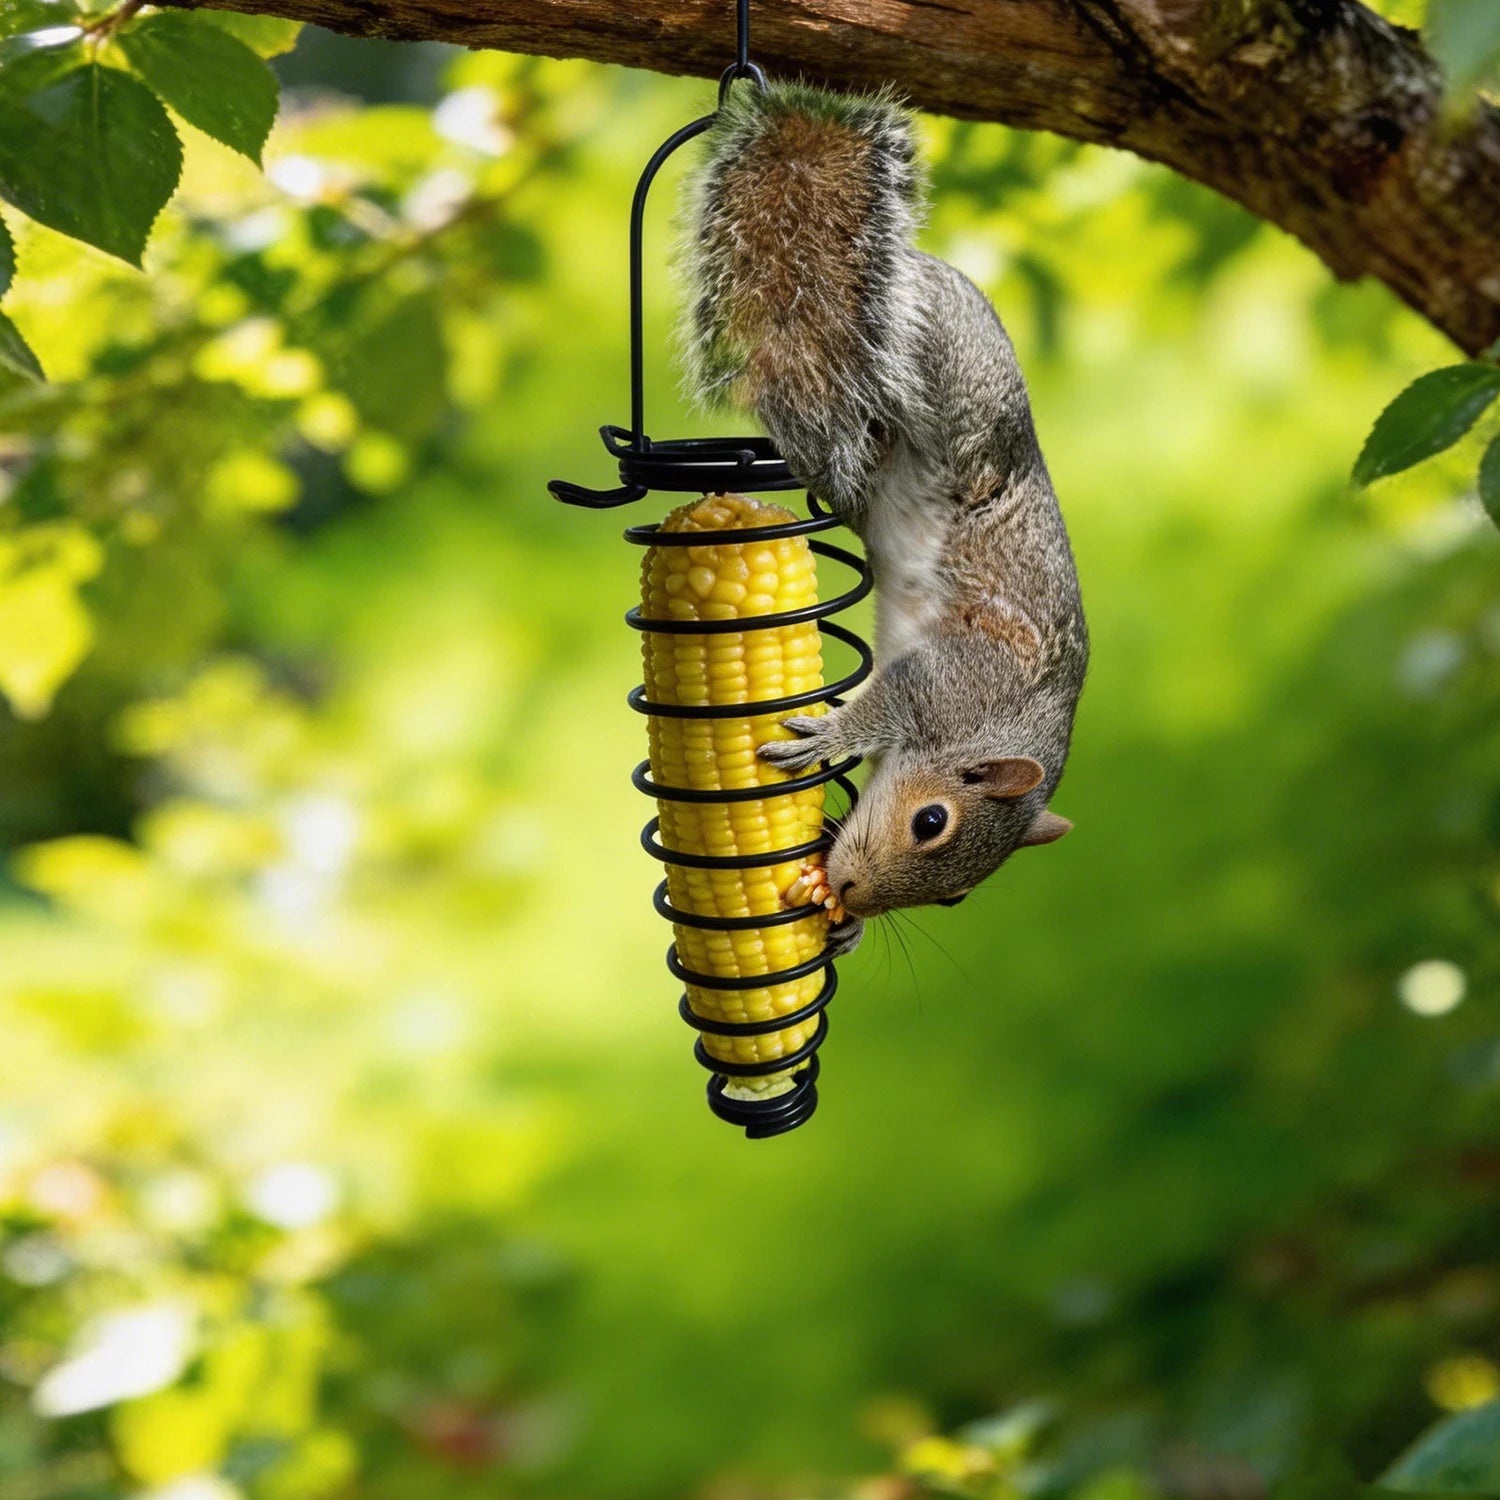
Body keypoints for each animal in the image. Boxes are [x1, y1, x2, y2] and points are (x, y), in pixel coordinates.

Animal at [680, 80, 1088, 954]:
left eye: (956, 898)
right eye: (930, 821)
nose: (852, 893)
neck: (997, 727)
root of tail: (921, 268)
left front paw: (847, 931)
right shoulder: (950, 680)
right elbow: (889, 698)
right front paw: (831, 736)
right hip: (948, 384)